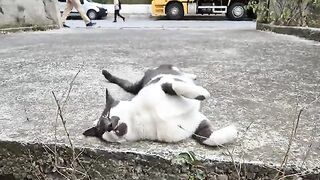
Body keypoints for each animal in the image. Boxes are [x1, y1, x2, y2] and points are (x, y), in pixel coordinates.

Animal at [83, 64, 238, 146]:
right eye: (101, 130)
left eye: (107, 114)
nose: (108, 125)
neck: (144, 118)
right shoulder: (197, 123)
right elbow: (208, 138)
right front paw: (233, 131)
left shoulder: (164, 85)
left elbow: (175, 86)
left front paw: (203, 93)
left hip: (163, 71)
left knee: (179, 73)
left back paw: (192, 76)